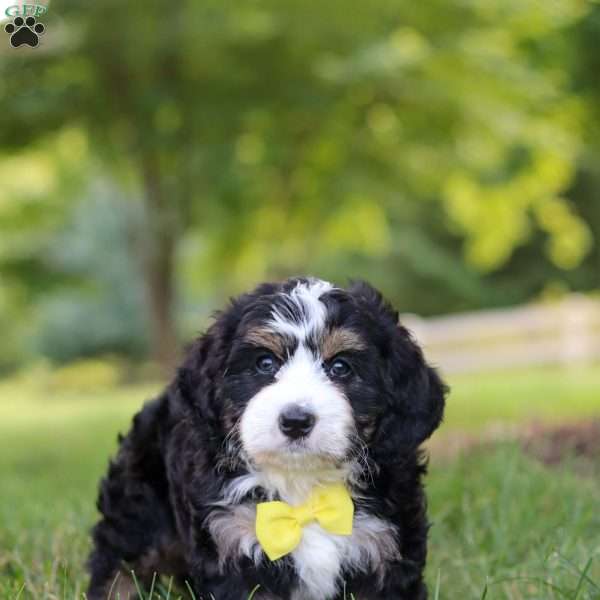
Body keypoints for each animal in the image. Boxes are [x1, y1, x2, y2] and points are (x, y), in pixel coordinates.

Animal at [86, 278, 448, 600]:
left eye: (341, 367)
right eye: (264, 362)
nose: (296, 421)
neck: (302, 488)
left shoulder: (386, 546)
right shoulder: (232, 542)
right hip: (138, 511)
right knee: (119, 562)